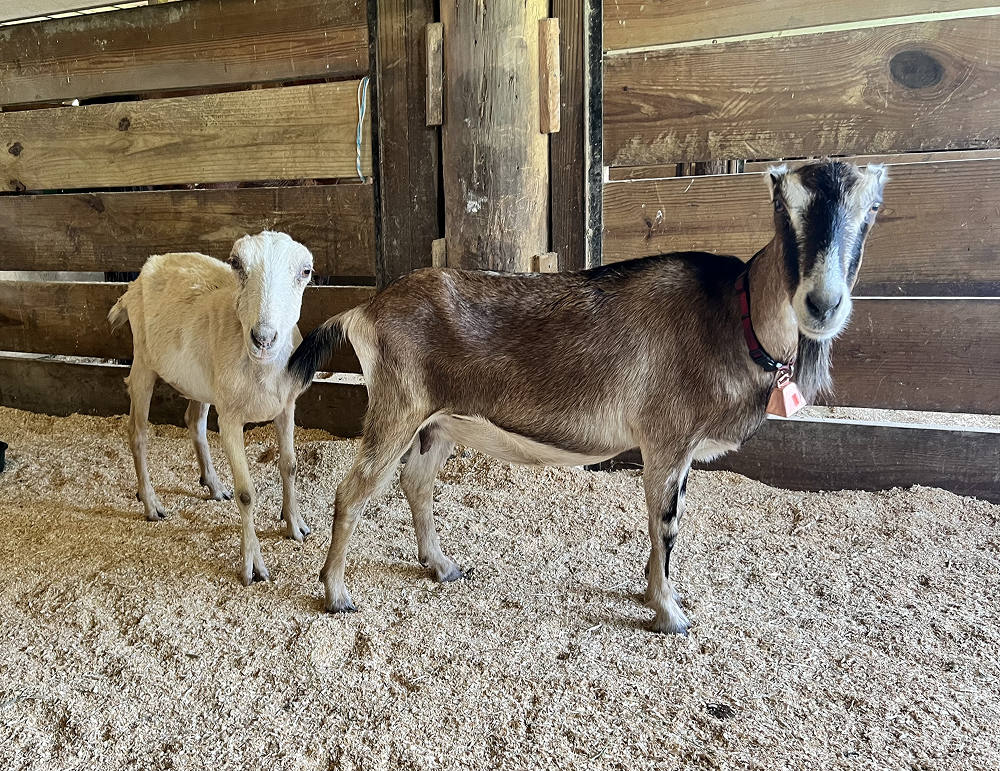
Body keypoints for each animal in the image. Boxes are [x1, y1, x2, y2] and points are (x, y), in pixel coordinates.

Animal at [109, 231, 315, 586]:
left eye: (306, 271)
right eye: (236, 263)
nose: (264, 339)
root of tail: (143, 272)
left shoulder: (286, 406)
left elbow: (289, 466)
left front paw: (296, 525)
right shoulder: (230, 418)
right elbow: (246, 493)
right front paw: (253, 567)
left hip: (201, 381)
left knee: (193, 421)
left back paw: (214, 485)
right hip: (143, 362)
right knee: (137, 432)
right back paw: (151, 503)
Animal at [288, 160, 888, 634]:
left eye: (874, 209)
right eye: (783, 208)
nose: (822, 304)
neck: (733, 316)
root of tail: (364, 310)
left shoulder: (678, 451)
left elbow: (665, 525)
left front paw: (652, 593)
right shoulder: (667, 439)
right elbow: (666, 524)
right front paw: (669, 614)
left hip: (439, 421)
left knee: (415, 482)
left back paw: (441, 566)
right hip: (397, 407)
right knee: (352, 492)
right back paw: (336, 594)